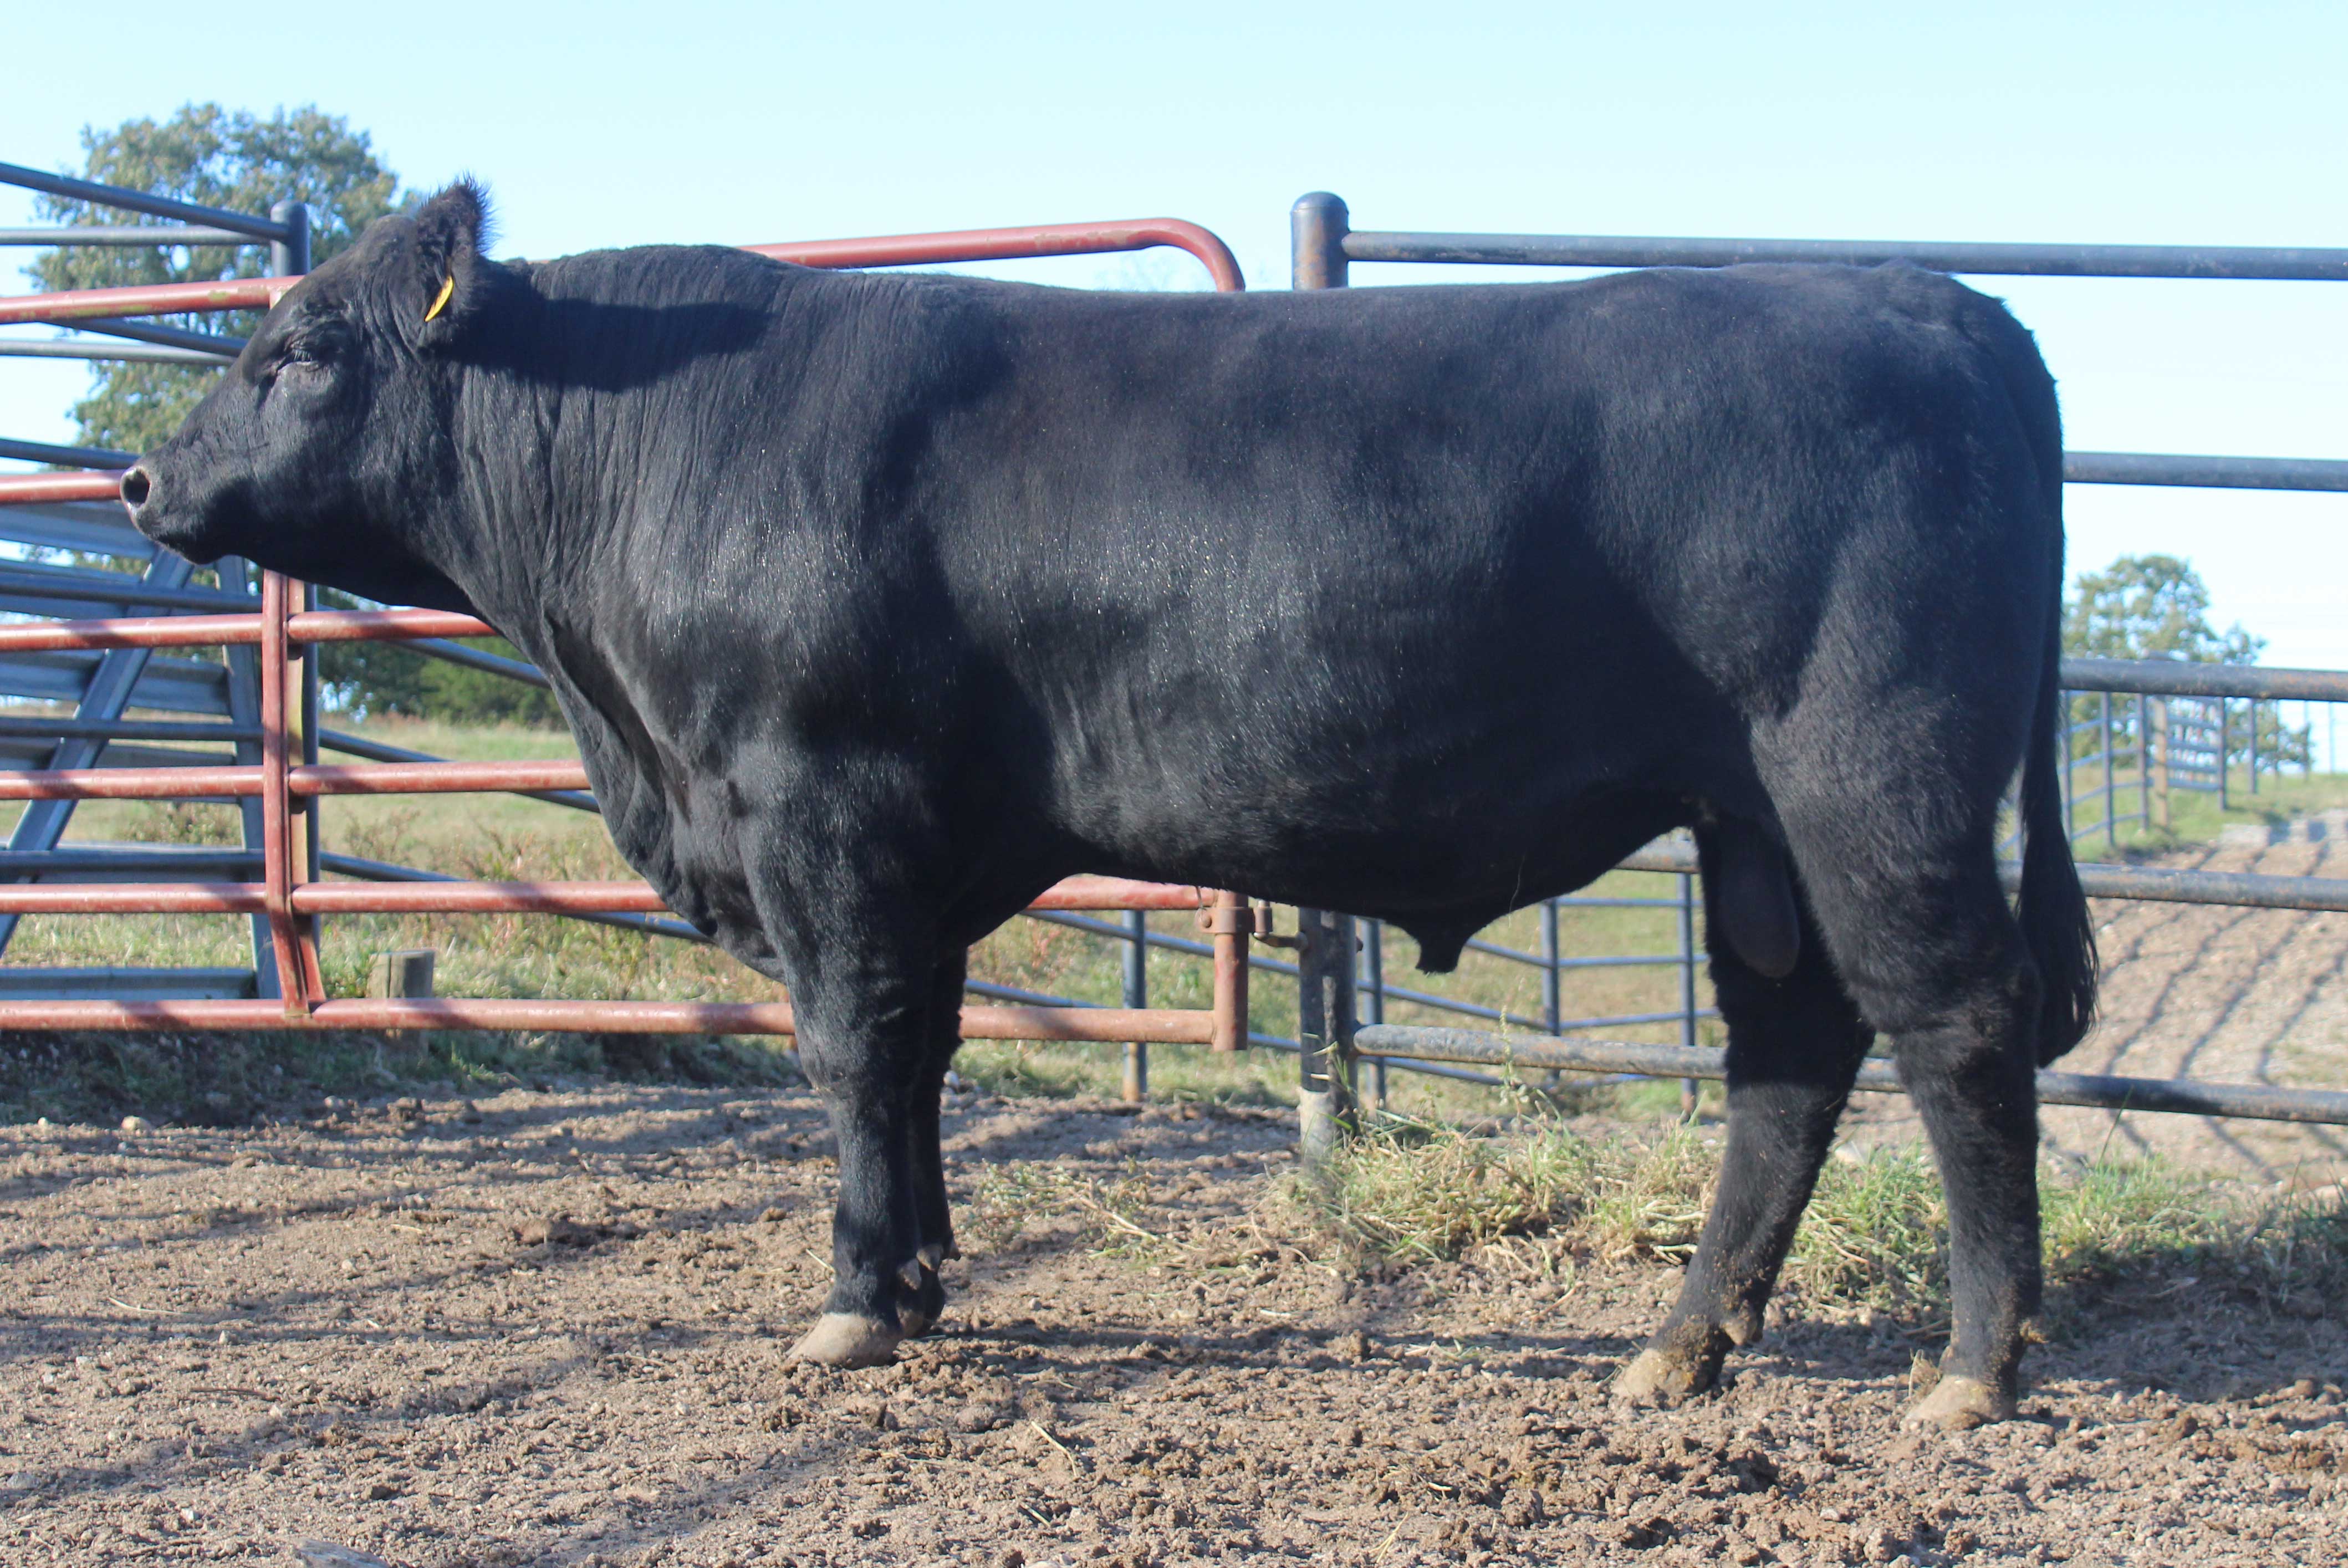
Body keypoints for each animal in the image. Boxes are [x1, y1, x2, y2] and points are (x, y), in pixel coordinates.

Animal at [124, 182, 2096, 1430]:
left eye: (300, 347)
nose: (140, 477)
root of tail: (1929, 297)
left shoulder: (817, 807)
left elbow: (850, 1051)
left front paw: (852, 1300)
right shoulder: (914, 852)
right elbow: (920, 1052)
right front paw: (922, 1275)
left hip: (1864, 775)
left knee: (1952, 1022)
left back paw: (1971, 1366)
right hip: (1751, 820)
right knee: (1789, 1054)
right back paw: (1678, 1351)